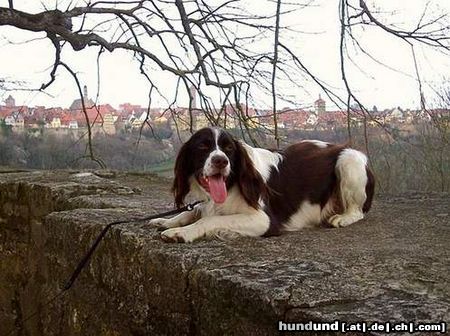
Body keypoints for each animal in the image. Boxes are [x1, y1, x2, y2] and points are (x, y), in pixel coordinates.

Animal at [149, 127, 374, 243]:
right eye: (202, 147)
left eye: (229, 148)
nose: (221, 161)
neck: (231, 184)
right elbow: (193, 211)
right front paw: (167, 221)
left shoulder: (263, 220)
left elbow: (209, 219)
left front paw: (181, 233)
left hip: (349, 160)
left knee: (358, 211)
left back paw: (342, 218)